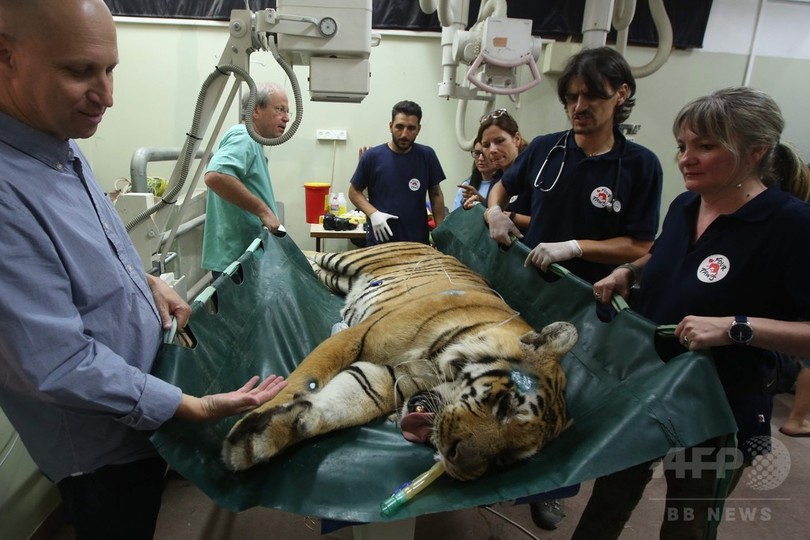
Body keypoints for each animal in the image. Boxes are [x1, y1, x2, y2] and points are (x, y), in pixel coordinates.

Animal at [221, 242, 576, 480]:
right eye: (505, 405)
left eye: (507, 458)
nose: (458, 465)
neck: (437, 368)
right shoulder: (355, 337)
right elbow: (304, 379)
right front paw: (256, 422)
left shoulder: (380, 378)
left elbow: (336, 407)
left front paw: (265, 436)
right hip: (347, 259)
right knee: (312, 251)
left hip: (336, 279)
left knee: (315, 266)